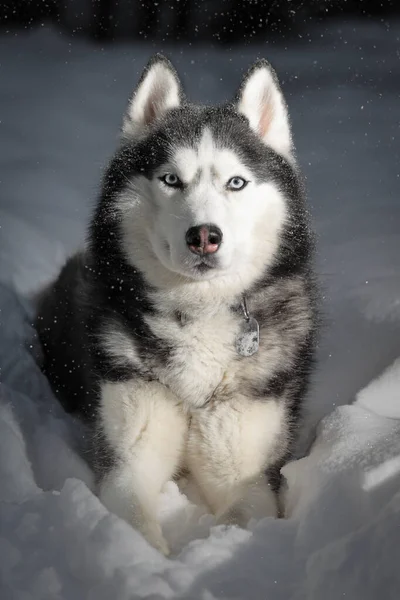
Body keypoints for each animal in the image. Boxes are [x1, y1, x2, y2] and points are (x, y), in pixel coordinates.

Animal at [37, 55, 318, 552]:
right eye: (171, 180)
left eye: (236, 182)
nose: (204, 235)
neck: (198, 312)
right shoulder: (127, 462)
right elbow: (135, 524)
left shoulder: (251, 478)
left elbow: (241, 515)